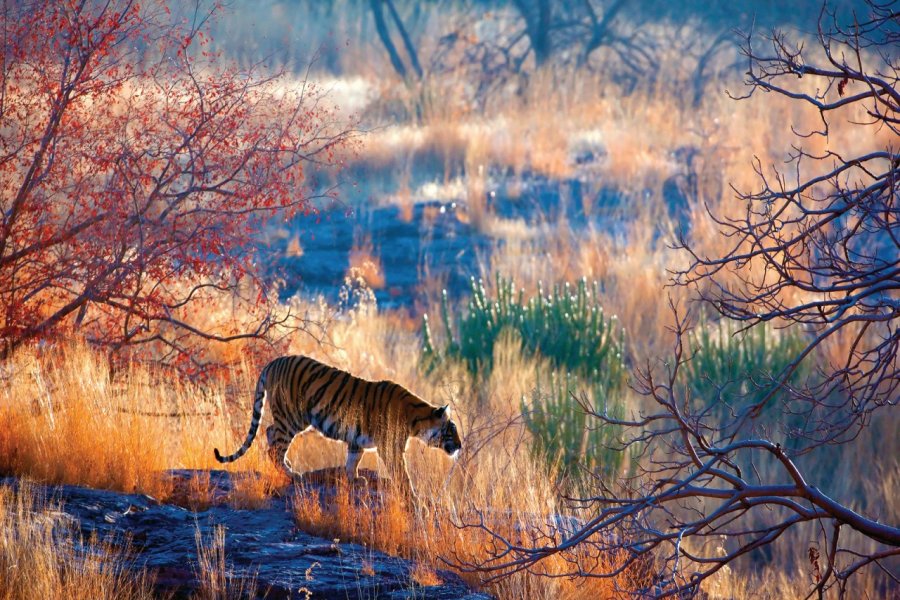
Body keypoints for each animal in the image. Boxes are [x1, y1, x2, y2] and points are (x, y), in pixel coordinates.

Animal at [214, 354, 460, 500]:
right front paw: (414, 498)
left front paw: (355, 480)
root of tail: (273, 362)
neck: (416, 420)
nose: (459, 446)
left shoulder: (356, 441)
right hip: (292, 417)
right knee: (274, 446)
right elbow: (402, 474)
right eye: (451, 431)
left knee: (269, 433)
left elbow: (352, 462)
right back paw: (293, 474)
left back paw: (288, 465)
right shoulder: (391, 448)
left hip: (289, 419)